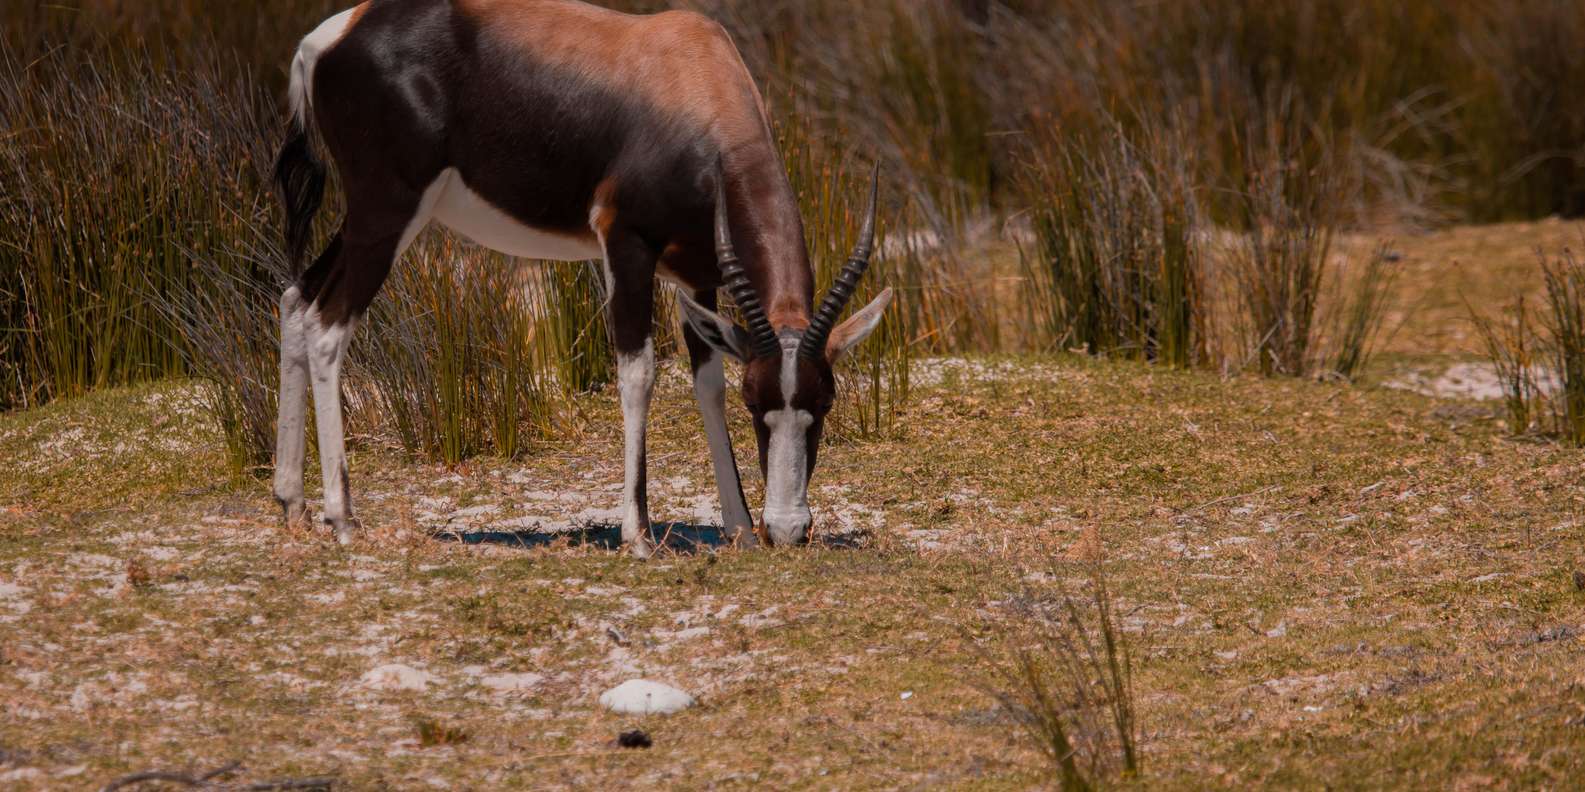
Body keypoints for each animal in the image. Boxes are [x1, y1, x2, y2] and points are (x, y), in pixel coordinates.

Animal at [269, 0, 893, 557]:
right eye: (755, 402)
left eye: (825, 400)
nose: (787, 530)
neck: (691, 72)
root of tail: (326, 39)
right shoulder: (626, 246)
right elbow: (639, 375)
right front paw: (639, 537)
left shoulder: (697, 278)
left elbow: (705, 385)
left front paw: (739, 527)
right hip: (388, 213)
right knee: (328, 326)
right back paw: (343, 519)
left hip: (370, 222)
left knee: (296, 299)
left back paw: (292, 502)